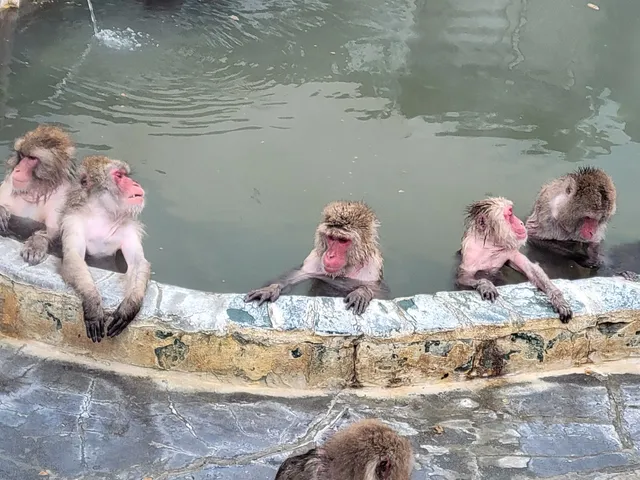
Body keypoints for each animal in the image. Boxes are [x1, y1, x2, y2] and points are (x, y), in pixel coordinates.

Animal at [0, 125, 76, 265]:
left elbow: (54, 231)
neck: (34, 188)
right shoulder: (9, 183)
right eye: (22, 155)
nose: (17, 169)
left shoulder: (63, 196)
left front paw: (36, 243)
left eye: (32, 158)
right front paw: (1, 212)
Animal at [60, 155, 150, 343]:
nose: (135, 183)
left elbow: (138, 262)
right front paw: (93, 303)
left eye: (126, 175)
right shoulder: (73, 222)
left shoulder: (130, 229)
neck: (102, 216)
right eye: (119, 176)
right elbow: (73, 256)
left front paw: (130, 307)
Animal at [245, 201, 387, 315]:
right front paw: (271, 289)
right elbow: (295, 276)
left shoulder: (372, 267)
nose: (330, 255)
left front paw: (362, 292)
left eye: (342, 240)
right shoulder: (314, 258)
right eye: (331, 237)